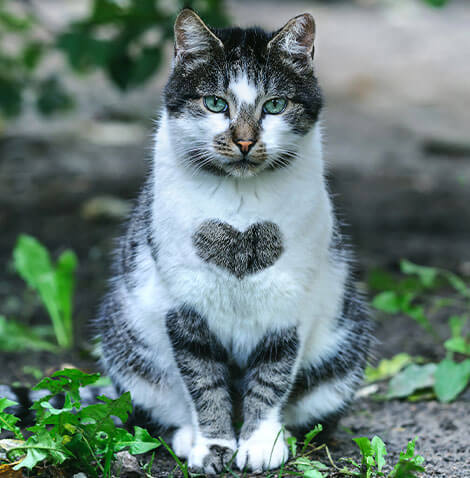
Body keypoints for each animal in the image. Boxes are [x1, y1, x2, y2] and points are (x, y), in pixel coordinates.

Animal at [96, 8, 374, 474]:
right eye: (215, 103)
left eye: (275, 105)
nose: (244, 140)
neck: (241, 209)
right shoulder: (184, 308)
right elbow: (203, 384)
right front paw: (213, 445)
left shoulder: (288, 309)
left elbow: (272, 379)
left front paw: (259, 444)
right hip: (129, 350)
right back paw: (187, 438)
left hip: (343, 352)